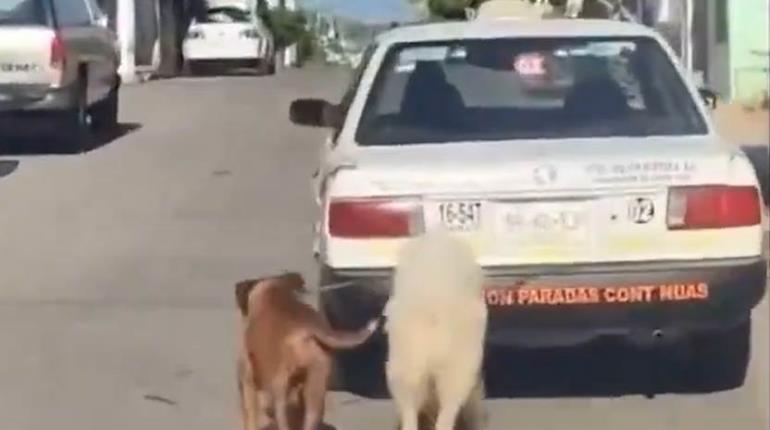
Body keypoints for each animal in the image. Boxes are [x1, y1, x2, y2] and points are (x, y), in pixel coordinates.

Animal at [234, 274, 378, 430]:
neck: (274, 291)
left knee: (282, 419)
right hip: (315, 389)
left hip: (279, 393)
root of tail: (306, 328)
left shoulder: (247, 380)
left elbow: (250, 416)